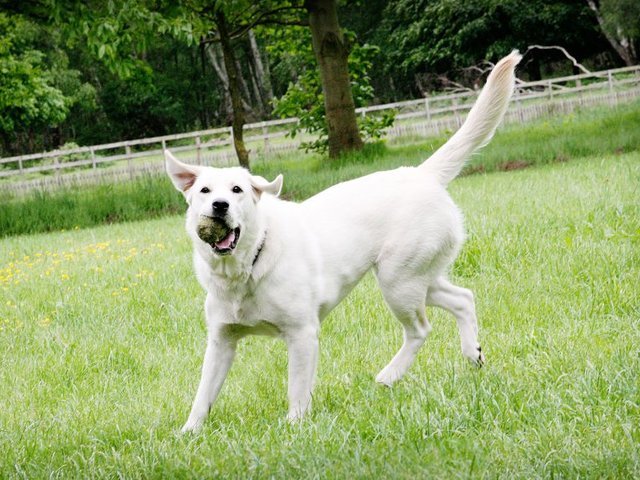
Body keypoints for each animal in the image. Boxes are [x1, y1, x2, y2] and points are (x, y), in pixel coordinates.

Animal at [165, 51, 520, 432]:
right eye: (204, 190)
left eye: (237, 190)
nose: (219, 206)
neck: (247, 268)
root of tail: (421, 174)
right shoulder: (221, 342)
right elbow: (203, 393)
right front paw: (189, 432)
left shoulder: (302, 335)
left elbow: (296, 389)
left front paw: (294, 426)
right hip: (420, 277)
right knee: (463, 299)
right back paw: (471, 354)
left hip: (398, 281)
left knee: (421, 329)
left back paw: (390, 375)